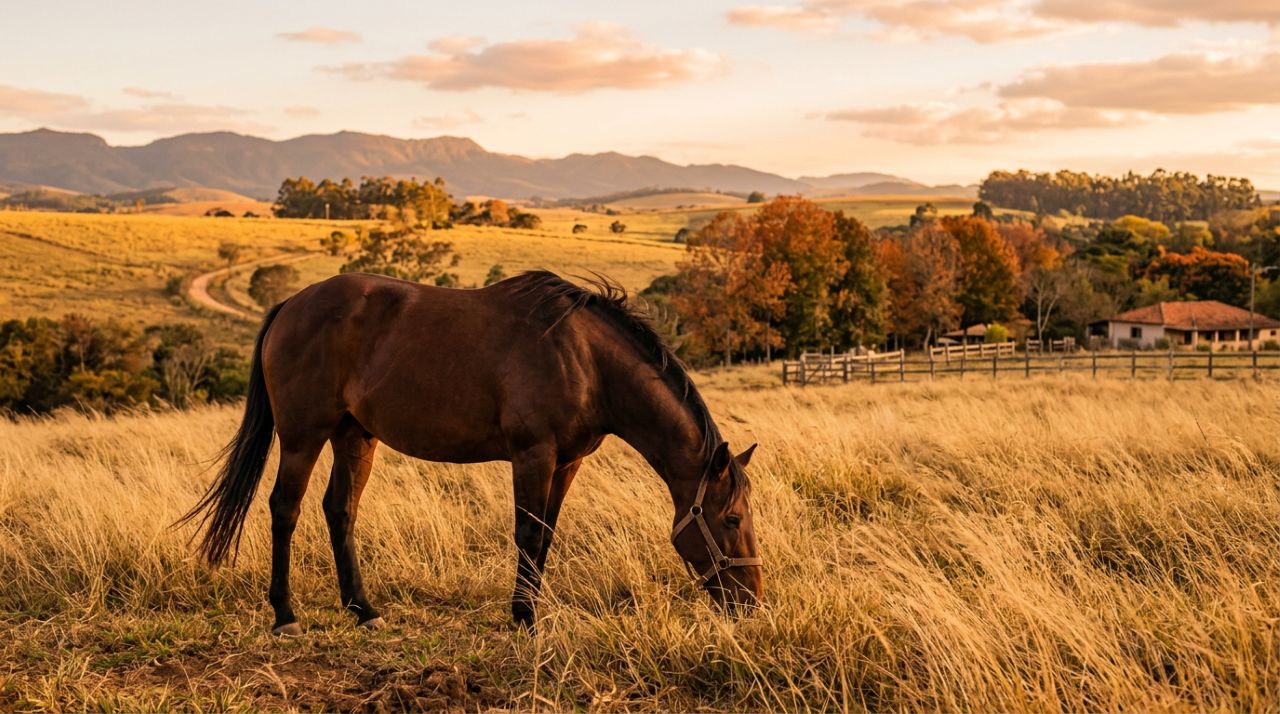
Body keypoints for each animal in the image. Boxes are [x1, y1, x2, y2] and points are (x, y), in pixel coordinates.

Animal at [180, 270, 762, 635]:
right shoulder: (533, 456)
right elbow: (528, 532)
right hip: (304, 435)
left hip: (354, 436)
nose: (751, 601)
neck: (585, 359)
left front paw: (531, 609)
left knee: (339, 510)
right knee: (286, 509)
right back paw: (285, 616)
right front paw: (524, 617)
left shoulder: (567, 462)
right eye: (732, 519)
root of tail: (291, 305)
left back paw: (363, 609)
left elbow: (546, 533)